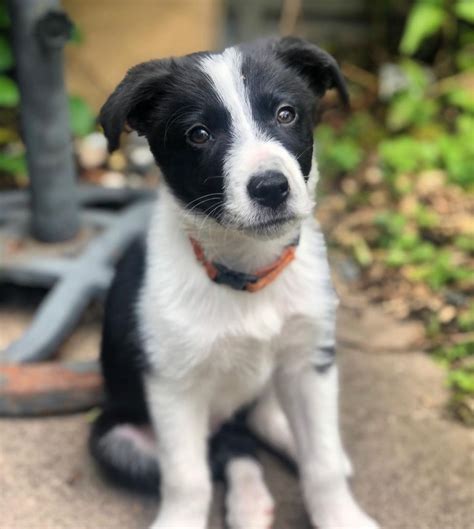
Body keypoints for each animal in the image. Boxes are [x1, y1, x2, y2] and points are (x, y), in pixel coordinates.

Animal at [90, 37, 380, 528]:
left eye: (286, 113)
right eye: (198, 134)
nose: (271, 187)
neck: (247, 272)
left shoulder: (310, 361)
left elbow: (320, 462)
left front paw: (342, 516)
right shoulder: (173, 384)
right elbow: (188, 479)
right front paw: (180, 521)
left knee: (260, 423)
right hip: (115, 437)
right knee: (228, 449)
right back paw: (249, 502)